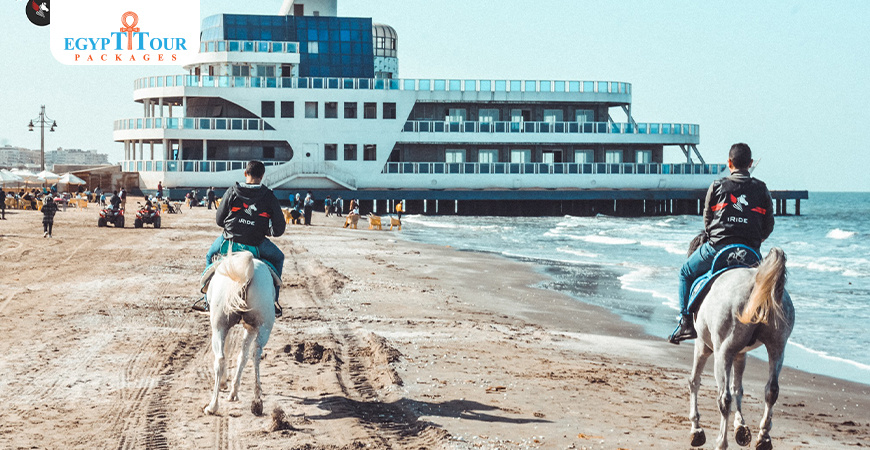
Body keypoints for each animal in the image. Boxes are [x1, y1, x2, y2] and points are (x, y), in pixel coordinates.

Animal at [203, 251, 276, 416]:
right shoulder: (249, 328)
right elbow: (242, 357)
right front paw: (234, 392)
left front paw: (225, 384)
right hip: (262, 327)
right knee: (255, 355)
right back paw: (257, 402)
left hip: (219, 326)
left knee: (220, 359)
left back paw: (212, 406)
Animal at [687, 246, 794, 450]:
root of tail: (754, 281)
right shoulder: (740, 354)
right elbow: (738, 388)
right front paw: (741, 427)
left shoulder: (703, 347)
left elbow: (694, 382)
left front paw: (696, 429)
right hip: (777, 348)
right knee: (771, 390)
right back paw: (764, 437)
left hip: (722, 354)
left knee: (724, 397)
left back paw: (721, 441)